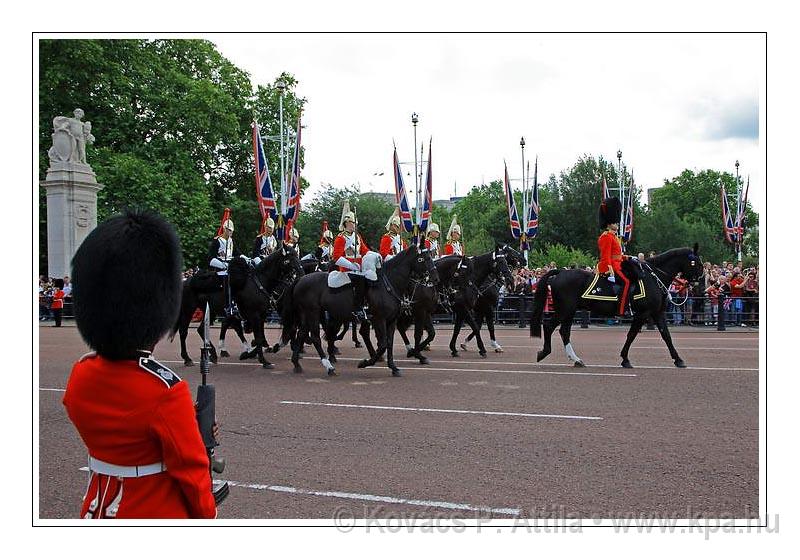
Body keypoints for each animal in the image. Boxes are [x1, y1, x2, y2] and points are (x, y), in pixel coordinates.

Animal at [282, 244, 440, 376]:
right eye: (422, 258)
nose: (436, 279)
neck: (388, 284)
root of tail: (301, 279)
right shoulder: (379, 319)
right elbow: (383, 344)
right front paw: (365, 363)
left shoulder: (391, 320)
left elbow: (389, 343)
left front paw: (394, 367)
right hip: (313, 312)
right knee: (315, 337)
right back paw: (329, 367)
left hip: (307, 314)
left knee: (302, 333)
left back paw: (297, 364)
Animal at [536, 245, 704, 368]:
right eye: (697, 263)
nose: (700, 287)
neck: (654, 278)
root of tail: (559, 273)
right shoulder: (643, 313)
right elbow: (632, 334)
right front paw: (625, 359)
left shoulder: (657, 313)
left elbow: (666, 336)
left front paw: (678, 359)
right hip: (565, 310)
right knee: (549, 326)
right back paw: (544, 352)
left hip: (569, 311)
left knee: (564, 332)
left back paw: (576, 359)